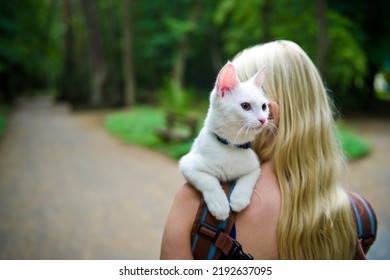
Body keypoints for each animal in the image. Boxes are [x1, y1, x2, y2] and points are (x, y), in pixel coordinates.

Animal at [179, 62, 268, 220]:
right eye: (245, 106)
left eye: (264, 106)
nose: (263, 119)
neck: (230, 146)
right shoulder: (187, 164)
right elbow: (208, 180)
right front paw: (219, 205)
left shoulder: (254, 166)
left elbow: (248, 179)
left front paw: (239, 198)